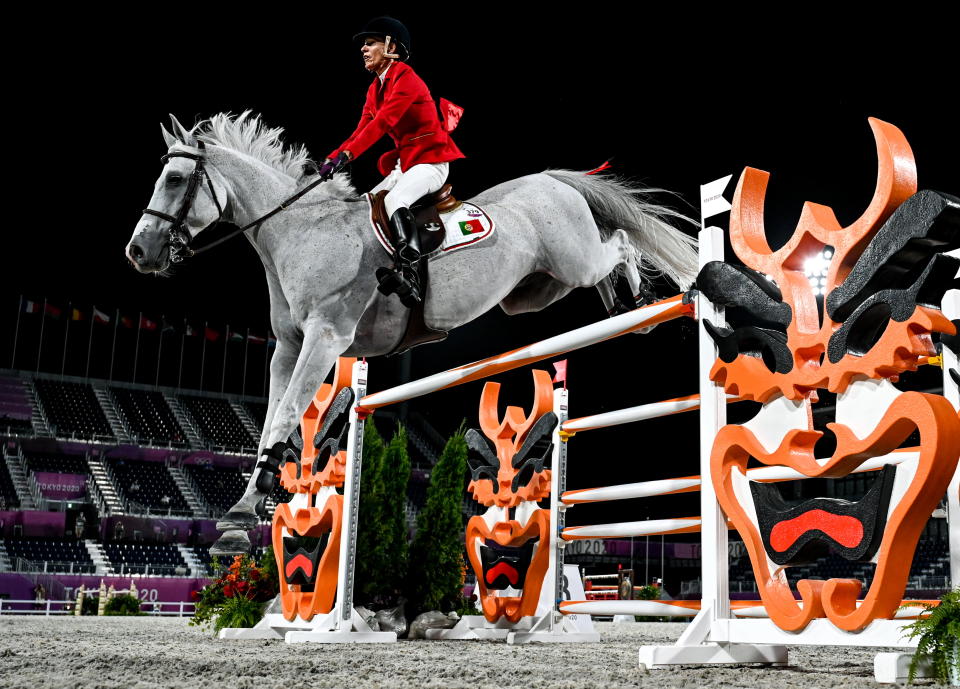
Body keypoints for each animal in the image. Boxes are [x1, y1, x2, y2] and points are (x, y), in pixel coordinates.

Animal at [127, 113, 696, 552]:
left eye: (174, 180)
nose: (138, 251)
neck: (301, 231)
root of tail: (551, 180)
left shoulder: (325, 338)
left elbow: (286, 413)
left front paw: (247, 509)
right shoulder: (287, 348)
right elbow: (271, 420)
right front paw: (243, 511)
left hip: (571, 260)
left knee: (620, 241)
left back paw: (649, 298)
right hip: (535, 289)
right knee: (604, 258)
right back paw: (625, 305)